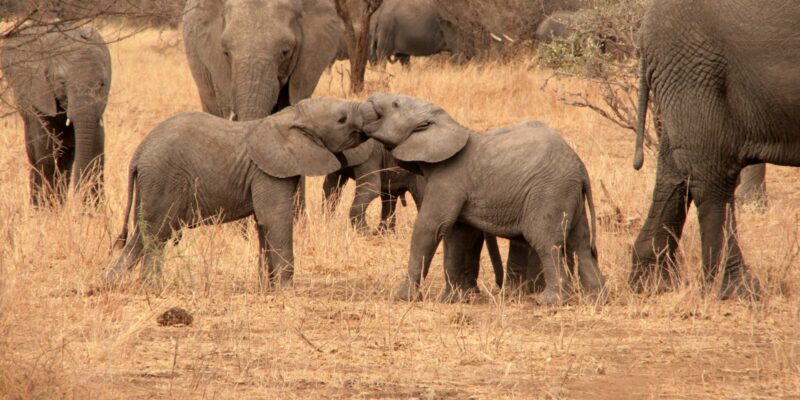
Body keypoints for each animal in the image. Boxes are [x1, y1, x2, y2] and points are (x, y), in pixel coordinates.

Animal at [0, 25, 111, 206]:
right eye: (62, 83)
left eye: (102, 84)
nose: (77, 200)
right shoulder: (39, 91)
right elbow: (45, 150)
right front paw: (46, 209)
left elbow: (97, 148)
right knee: (37, 153)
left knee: (66, 154)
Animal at [103, 99, 376, 290]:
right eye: (342, 119)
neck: (290, 116)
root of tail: (138, 154)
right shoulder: (268, 171)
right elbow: (275, 219)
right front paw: (286, 290)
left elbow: (263, 224)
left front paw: (267, 288)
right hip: (162, 178)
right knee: (156, 232)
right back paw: (151, 287)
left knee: (144, 234)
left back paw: (115, 283)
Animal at [364, 93, 608, 306]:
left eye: (395, 104)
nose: (369, 99)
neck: (449, 124)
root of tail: (579, 166)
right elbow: (458, 235)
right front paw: (453, 300)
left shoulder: (448, 178)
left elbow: (430, 228)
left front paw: (403, 297)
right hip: (569, 193)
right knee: (581, 242)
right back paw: (596, 298)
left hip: (549, 191)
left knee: (546, 241)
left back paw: (549, 301)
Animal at [632, 0, 800, 300]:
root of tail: (643, 31)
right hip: (697, 71)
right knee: (713, 176)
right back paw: (737, 289)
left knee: (674, 172)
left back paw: (652, 283)